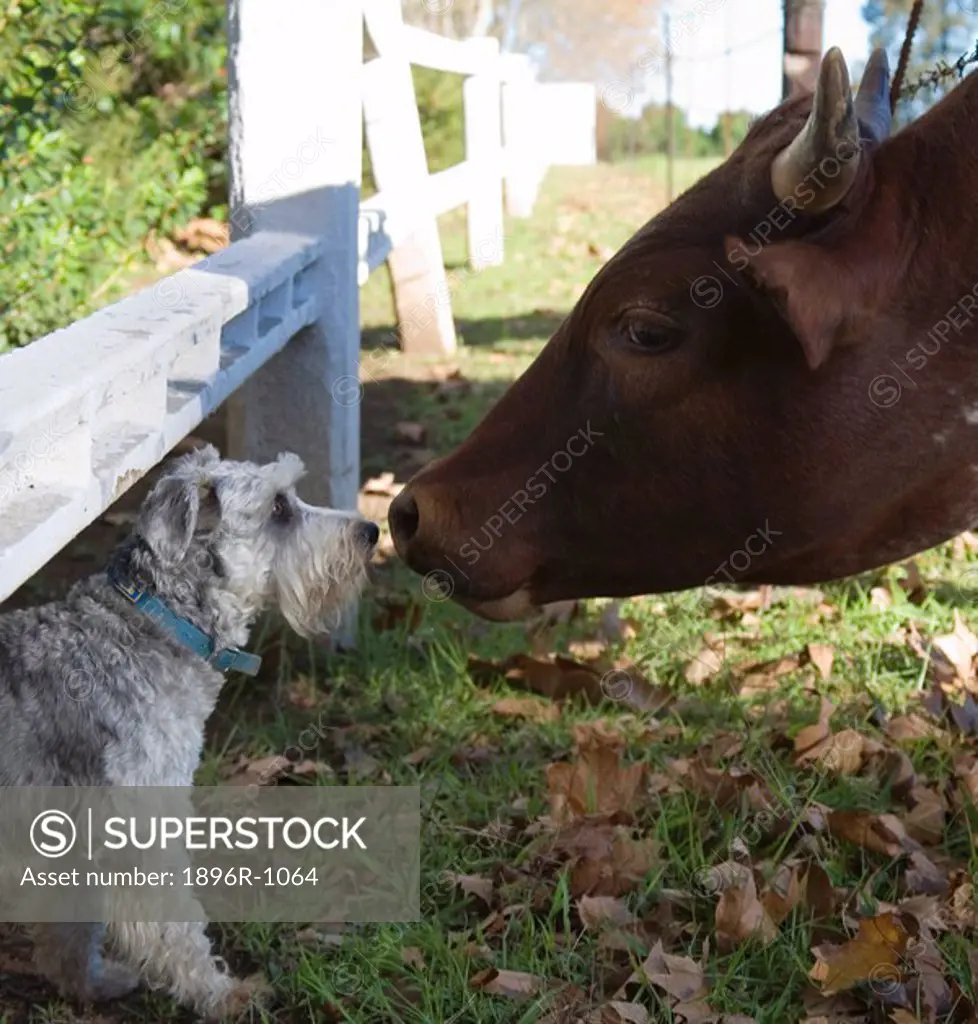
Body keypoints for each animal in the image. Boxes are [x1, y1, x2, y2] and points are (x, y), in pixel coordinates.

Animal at [0, 444, 378, 1019]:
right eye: (278, 508)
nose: (372, 531)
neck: (157, 623)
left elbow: (72, 923)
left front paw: (85, 982)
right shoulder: (140, 823)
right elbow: (173, 925)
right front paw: (221, 995)